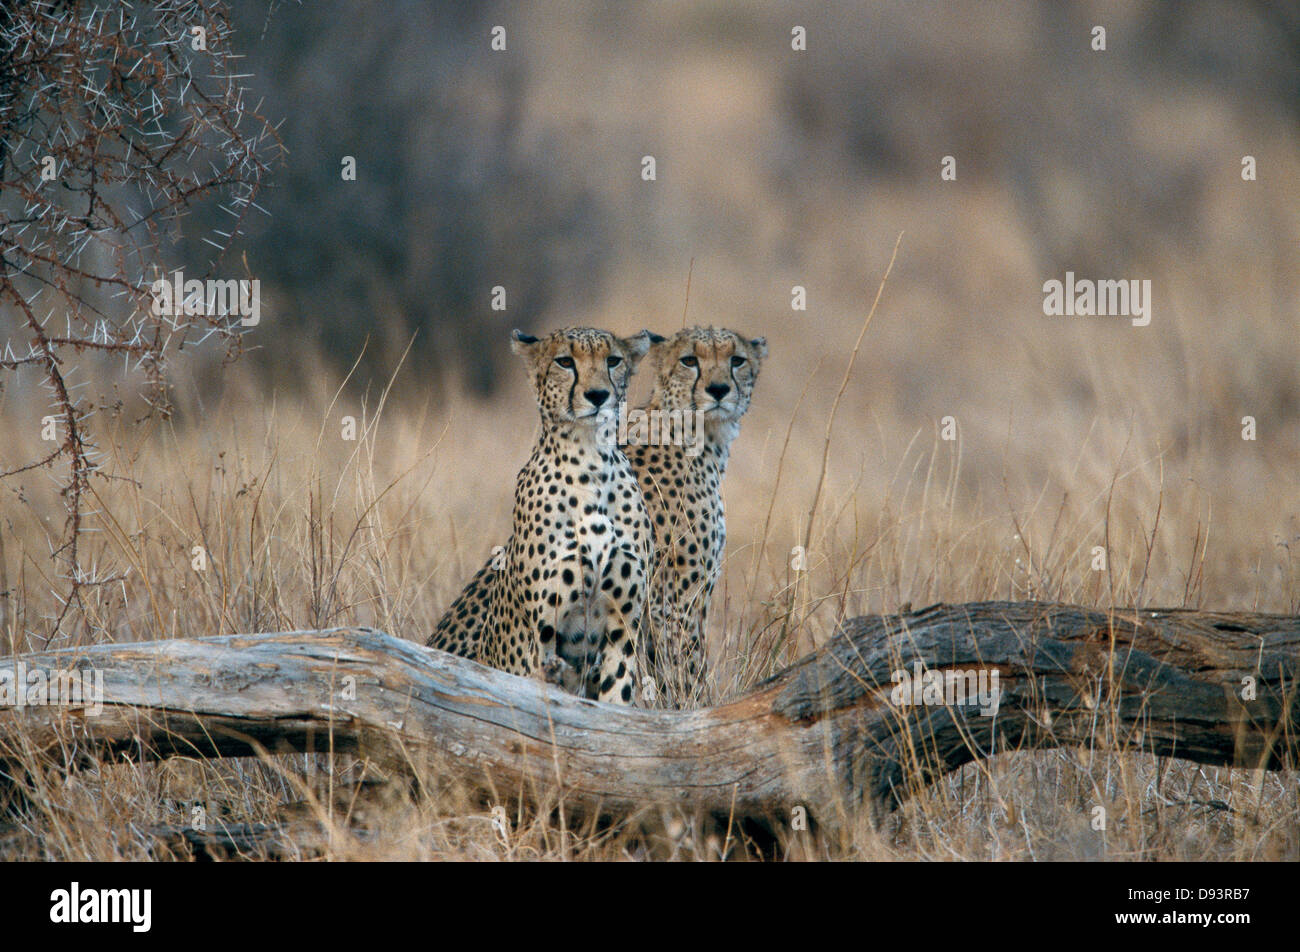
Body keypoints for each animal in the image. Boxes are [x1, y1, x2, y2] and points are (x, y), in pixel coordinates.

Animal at [428, 327, 655, 707]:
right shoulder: (544, 635)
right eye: (565, 361)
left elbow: (616, 700)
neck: (592, 460)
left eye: (613, 360)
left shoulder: (622, 629)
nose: (598, 395)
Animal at [624, 327, 764, 707]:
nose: (718, 389)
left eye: (737, 360)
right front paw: (696, 711)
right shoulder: (673, 602)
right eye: (689, 360)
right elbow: (687, 674)